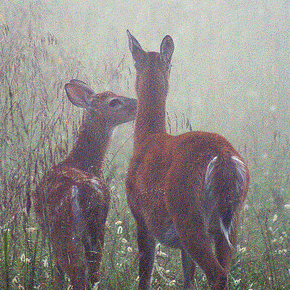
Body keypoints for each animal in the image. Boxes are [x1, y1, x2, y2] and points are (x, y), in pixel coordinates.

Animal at [33, 78, 138, 288]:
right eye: (114, 101)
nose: (138, 102)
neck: (79, 162)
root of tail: (90, 193)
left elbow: (58, 273)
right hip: (97, 230)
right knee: (93, 273)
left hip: (64, 231)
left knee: (76, 272)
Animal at [125, 30, 249, 288]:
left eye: (134, 64)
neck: (146, 139)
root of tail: (223, 156)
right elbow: (188, 279)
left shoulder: (141, 215)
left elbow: (145, 276)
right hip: (230, 219)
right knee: (225, 268)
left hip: (186, 212)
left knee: (218, 274)